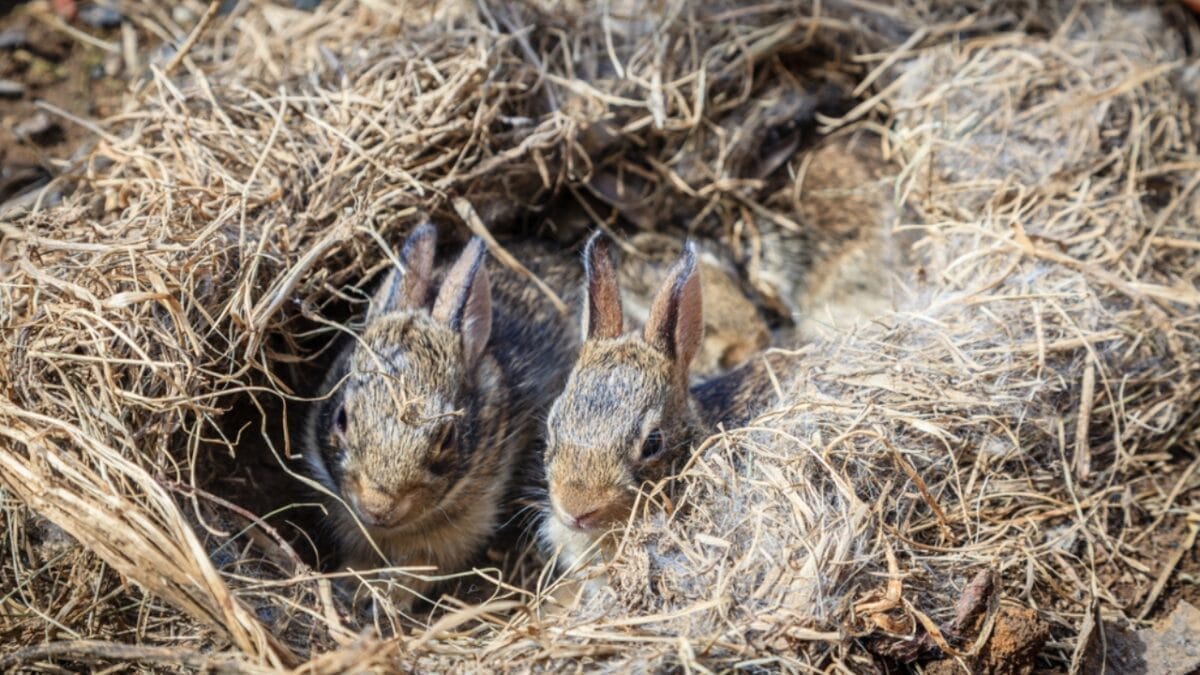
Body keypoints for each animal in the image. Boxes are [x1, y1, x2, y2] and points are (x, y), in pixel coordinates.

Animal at [302, 223, 582, 607]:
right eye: (341, 419)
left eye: (446, 438)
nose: (378, 507)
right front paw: (351, 581)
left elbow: (418, 570)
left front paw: (385, 596)